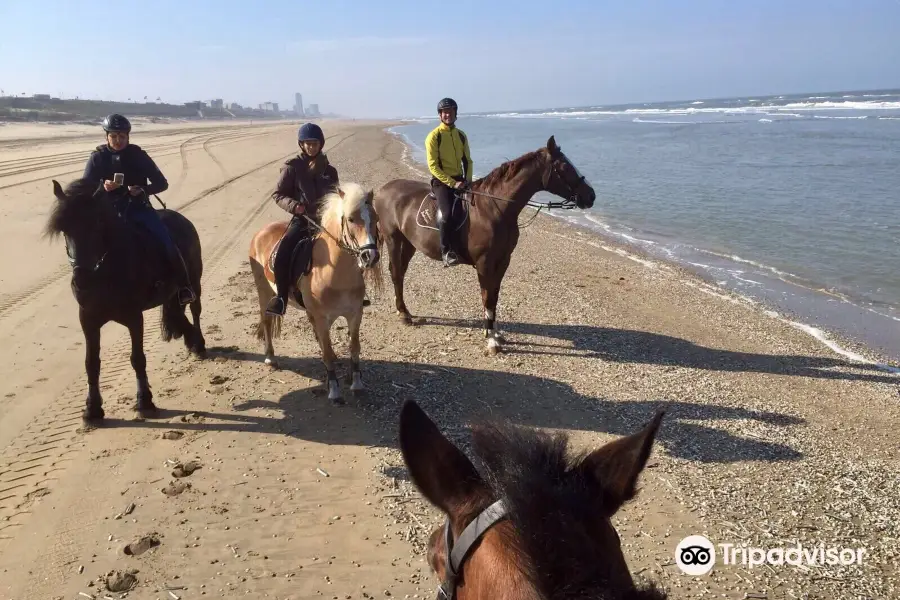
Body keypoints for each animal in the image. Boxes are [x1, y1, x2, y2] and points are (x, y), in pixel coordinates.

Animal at [248, 179, 382, 404]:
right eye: (351, 219)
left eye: (376, 218)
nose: (369, 256)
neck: (335, 272)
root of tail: (261, 232)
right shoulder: (321, 318)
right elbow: (327, 352)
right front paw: (334, 390)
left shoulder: (355, 314)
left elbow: (354, 347)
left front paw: (356, 383)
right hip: (264, 291)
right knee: (266, 321)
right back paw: (270, 357)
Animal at [374, 136, 596, 354]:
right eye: (564, 167)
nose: (591, 195)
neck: (494, 209)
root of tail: (382, 190)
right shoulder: (484, 263)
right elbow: (487, 298)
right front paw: (491, 341)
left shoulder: (502, 261)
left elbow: (494, 297)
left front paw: (495, 333)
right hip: (394, 240)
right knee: (396, 273)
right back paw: (404, 314)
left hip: (408, 244)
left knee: (400, 273)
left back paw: (403, 311)